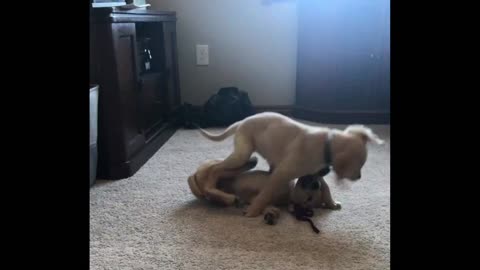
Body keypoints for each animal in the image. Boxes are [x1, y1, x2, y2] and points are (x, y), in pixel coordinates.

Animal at [188, 156, 342, 226]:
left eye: (309, 199)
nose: (315, 184)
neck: (288, 194)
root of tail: (194, 176)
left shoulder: (264, 201)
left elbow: (269, 207)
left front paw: (271, 215)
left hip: (215, 184)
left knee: (211, 185)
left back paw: (230, 198)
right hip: (224, 169)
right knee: (217, 170)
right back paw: (250, 161)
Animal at [195, 112, 382, 217]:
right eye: (360, 165)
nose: (359, 177)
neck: (326, 144)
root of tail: (241, 121)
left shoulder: (313, 174)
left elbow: (325, 187)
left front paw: (332, 203)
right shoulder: (281, 174)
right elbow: (265, 194)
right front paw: (253, 211)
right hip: (242, 153)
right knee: (216, 169)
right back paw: (213, 187)